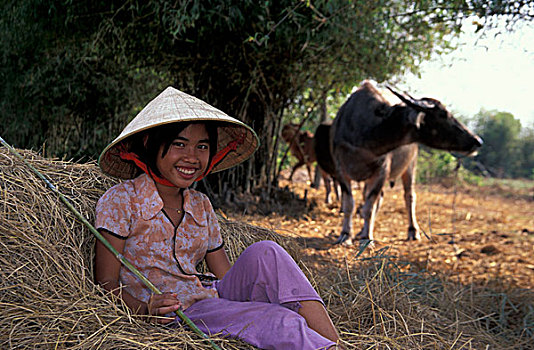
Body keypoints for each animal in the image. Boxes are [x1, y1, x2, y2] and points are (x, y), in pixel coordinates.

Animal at [328, 80, 484, 245]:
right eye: (443, 114)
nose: (477, 140)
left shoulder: (382, 170)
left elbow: (369, 207)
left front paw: (366, 238)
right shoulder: (340, 170)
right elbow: (349, 204)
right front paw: (346, 235)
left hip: (410, 166)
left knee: (409, 196)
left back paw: (412, 231)